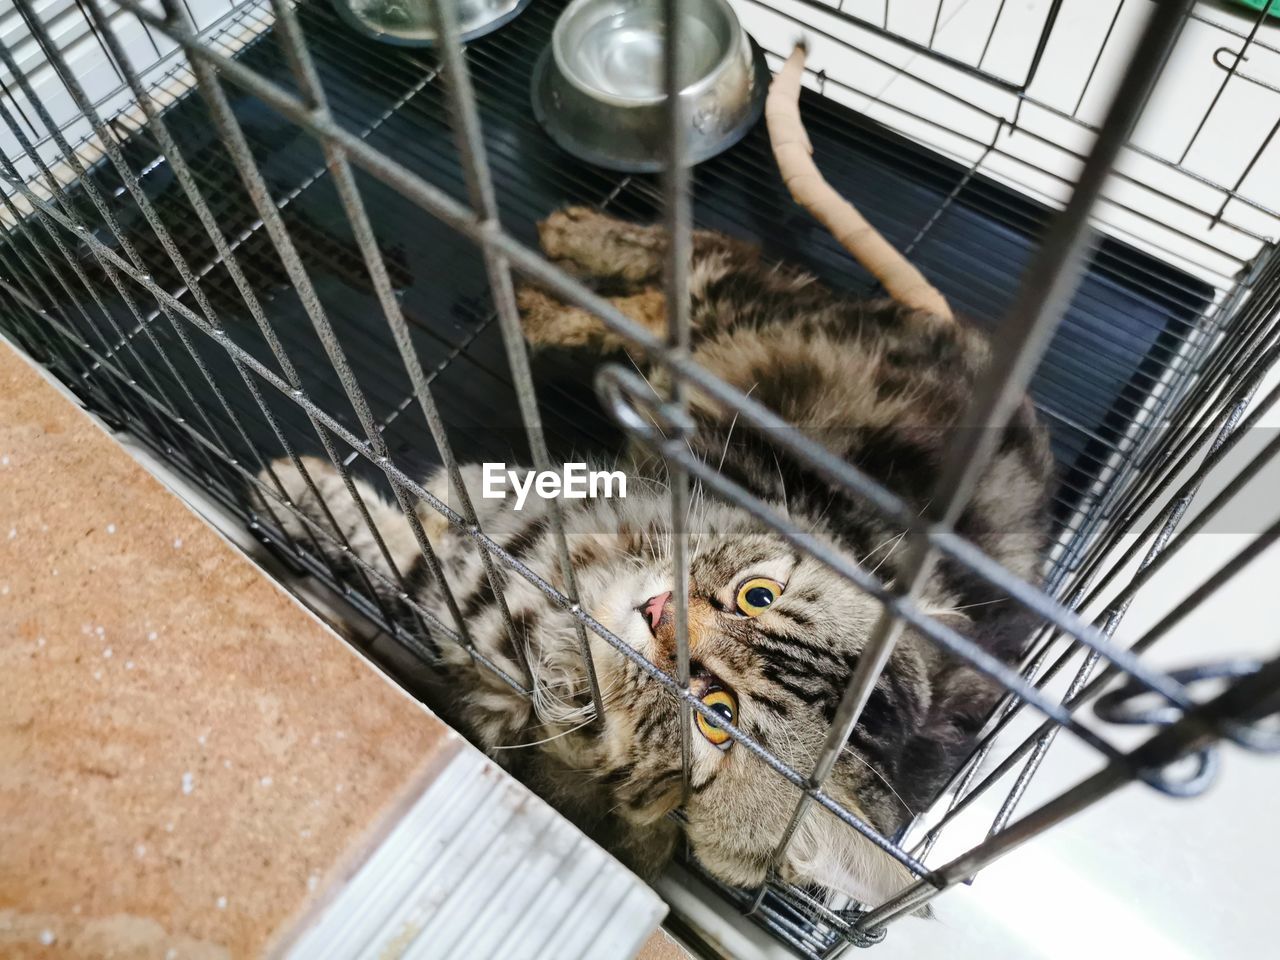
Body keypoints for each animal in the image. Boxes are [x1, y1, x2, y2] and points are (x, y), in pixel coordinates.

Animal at [259, 204, 1049, 911]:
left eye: (718, 716)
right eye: (757, 595)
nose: (660, 609)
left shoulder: (486, 596)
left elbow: (404, 549)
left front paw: (299, 492)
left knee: (662, 298)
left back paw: (544, 297)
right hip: (739, 320)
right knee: (695, 260)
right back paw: (563, 255)